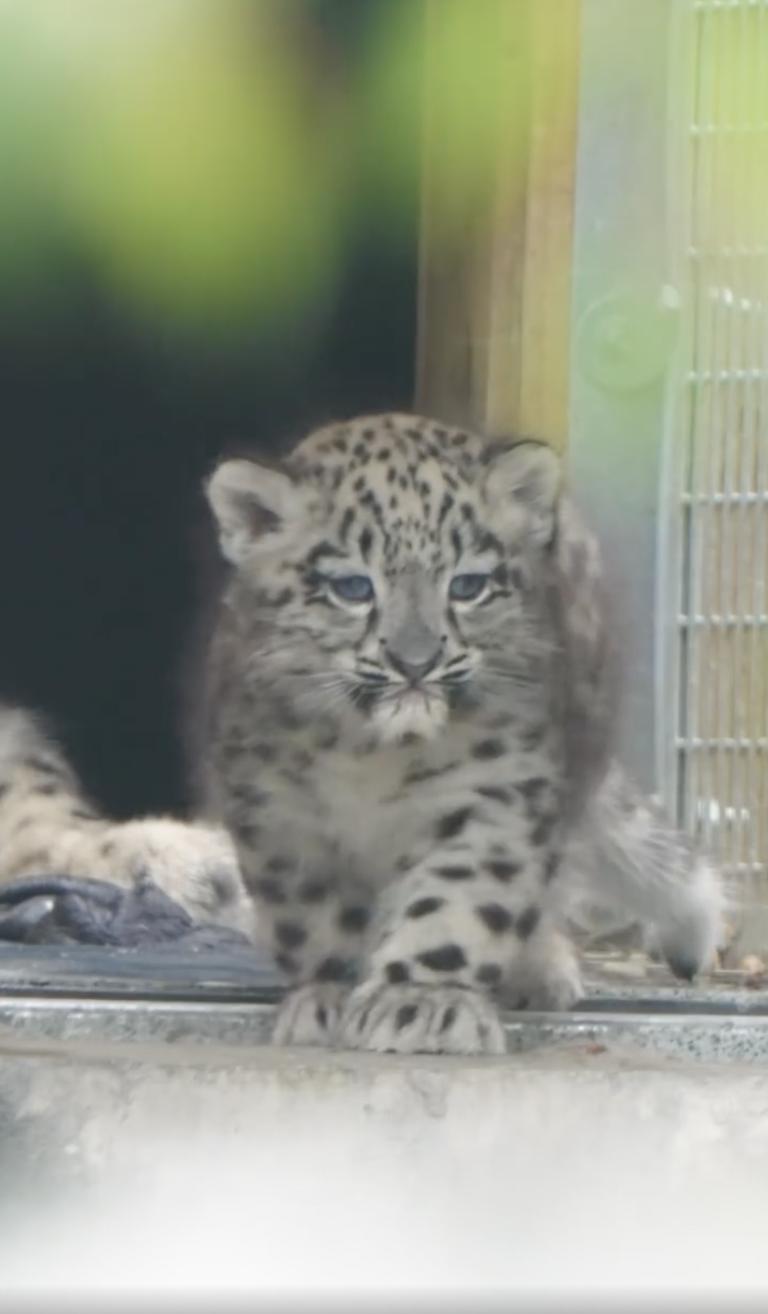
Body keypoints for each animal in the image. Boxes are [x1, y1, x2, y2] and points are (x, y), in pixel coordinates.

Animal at [197, 411, 724, 1055]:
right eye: (353, 587)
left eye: (467, 585)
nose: (415, 662)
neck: (371, 761)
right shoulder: (278, 810)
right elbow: (315, 917)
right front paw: (328, 997)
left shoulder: (495, 795)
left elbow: (457, 901)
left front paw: (421, 1005)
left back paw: (541, 972)